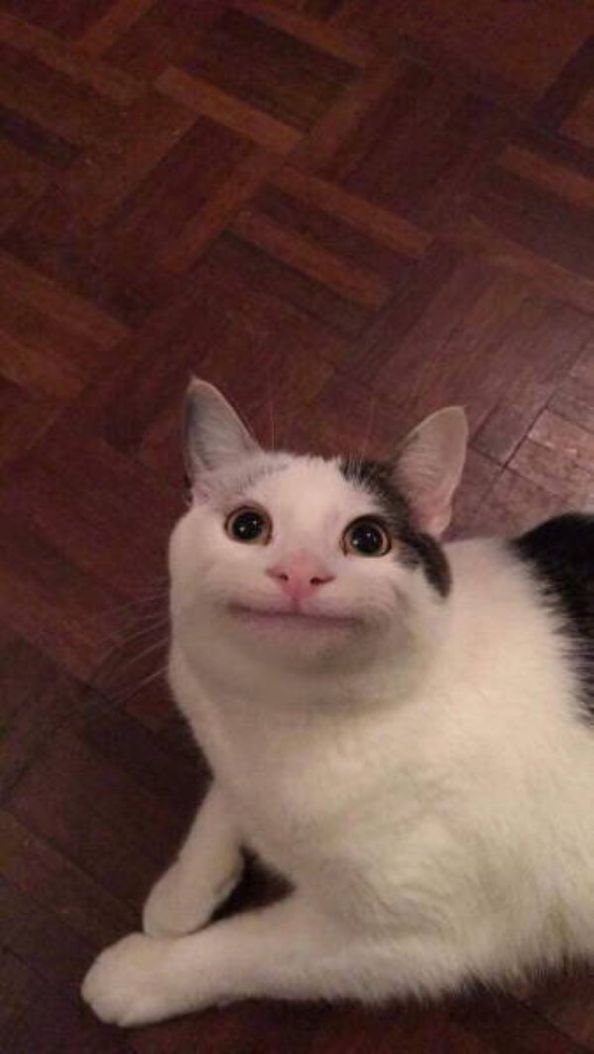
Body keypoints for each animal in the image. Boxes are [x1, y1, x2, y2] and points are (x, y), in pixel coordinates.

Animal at [81, 381, 594, 1028]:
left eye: (368, 539)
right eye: (248, 526)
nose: (300, 573)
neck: (289, 718)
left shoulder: (418, 938)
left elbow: (245, 951)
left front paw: (140, 973)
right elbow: (221, 802)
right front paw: (181, 893)